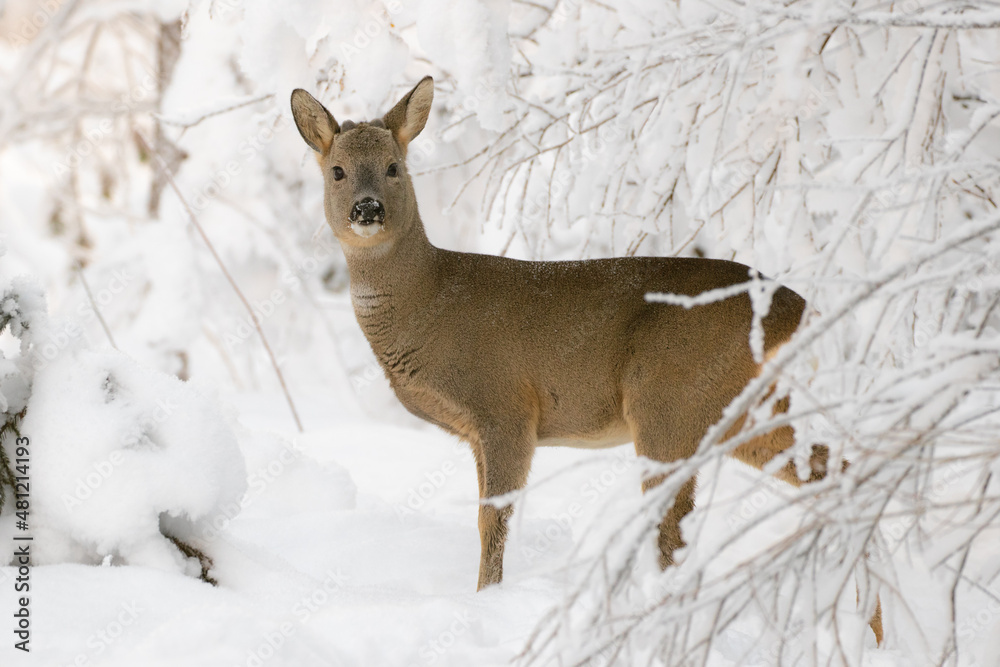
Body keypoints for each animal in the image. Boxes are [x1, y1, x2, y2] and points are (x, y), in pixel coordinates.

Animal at [290, 76, 882, 645]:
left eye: (395, 167)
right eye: (338, 170)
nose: (368, 209)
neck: (430, 299)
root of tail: (794, 304)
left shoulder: (506, 408)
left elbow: (493, 521)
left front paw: (485, 602)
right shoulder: (480, 430)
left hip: (668, 400)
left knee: (673, 529)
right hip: (742, 408)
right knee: (840, 470)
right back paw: (872, 632)